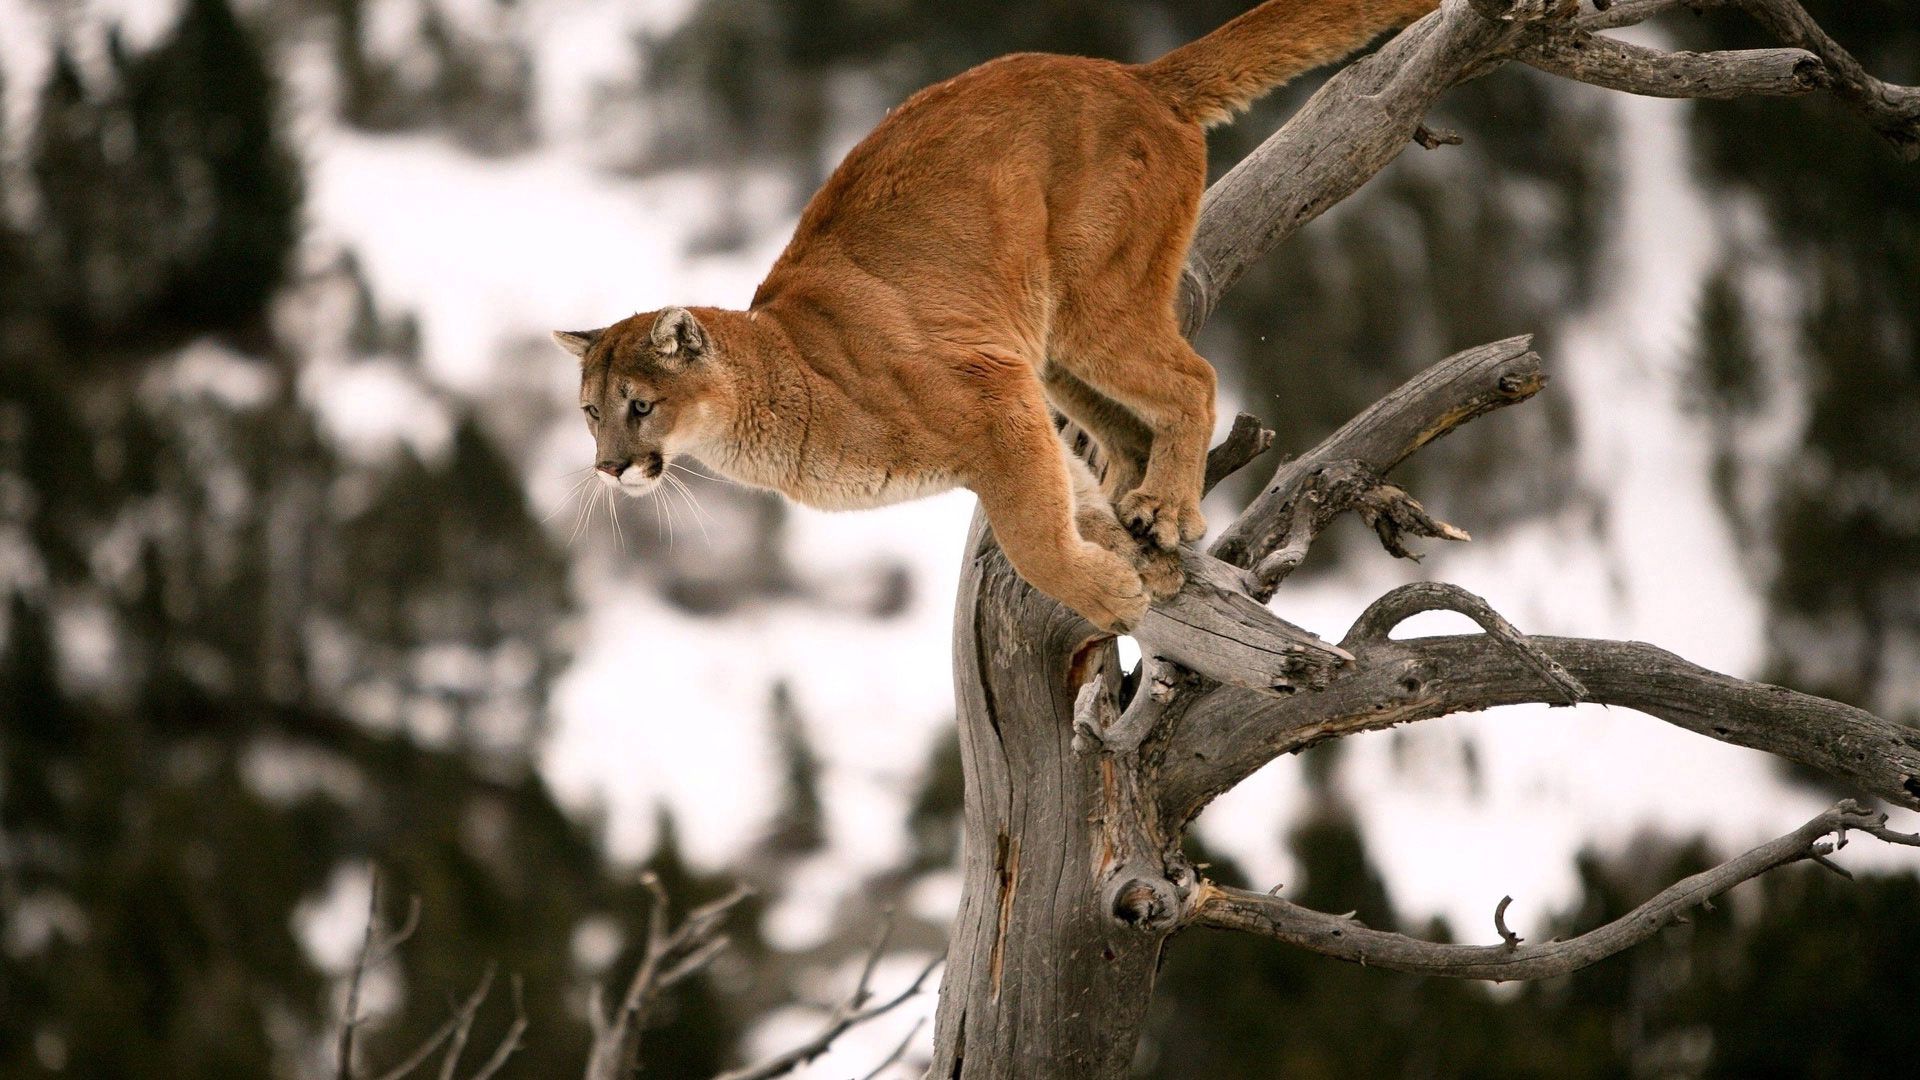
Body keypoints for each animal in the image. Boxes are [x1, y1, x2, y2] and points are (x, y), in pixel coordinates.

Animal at [556, 0, 1443, 626]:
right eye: (591, 412)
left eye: (640, 405)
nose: (609, 467)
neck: (782, 378)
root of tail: (1136, 76)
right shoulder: (1013, 389)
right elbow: (1069, 499)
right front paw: (1126, 563)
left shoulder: (990, 395)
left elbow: (1033, 538)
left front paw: (1108, 593)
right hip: (1048, 349)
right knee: (1127, 426)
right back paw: (1142, 511)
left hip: (1091, 304)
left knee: (1193, 377)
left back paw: (1167, 508)